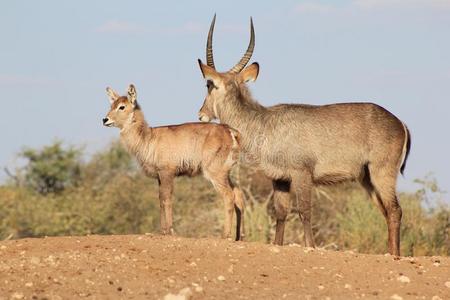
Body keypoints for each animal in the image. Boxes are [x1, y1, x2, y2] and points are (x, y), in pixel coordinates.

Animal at [197, 15, 412, 255]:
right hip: (367, 178)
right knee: (386, 211)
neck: (263, 123)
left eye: (209, 85)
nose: (201, 114)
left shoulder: (302, 173)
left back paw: (395, 256)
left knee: (395, 210)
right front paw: (277, 245)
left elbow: (304, 211)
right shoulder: (280, 179)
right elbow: (281, 213)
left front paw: (311, 247)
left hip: (381, 172)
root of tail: (400, 123)